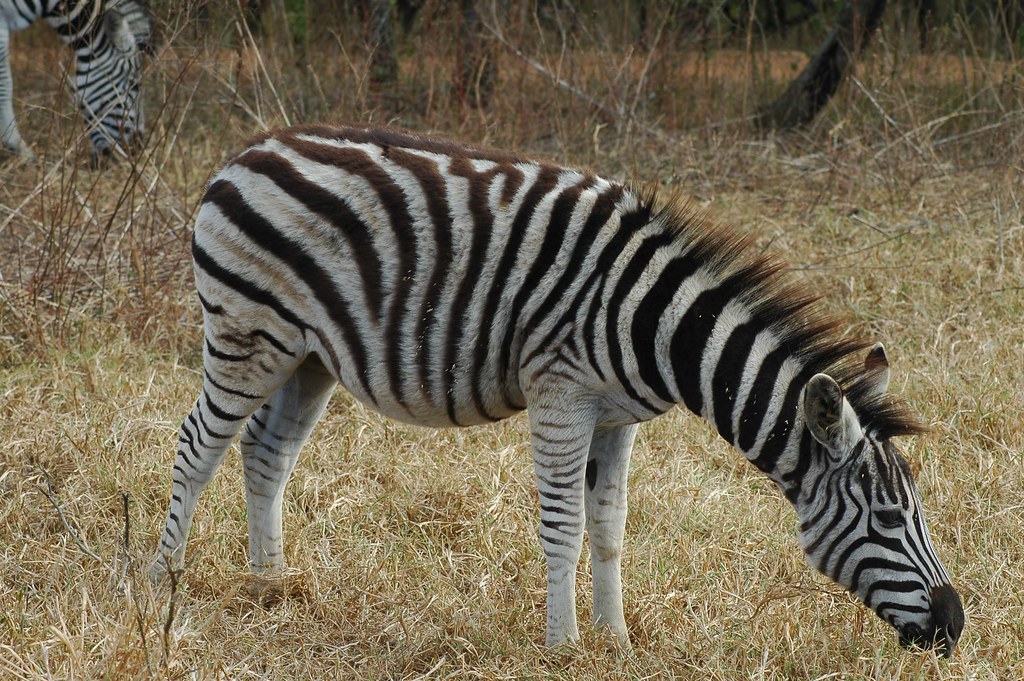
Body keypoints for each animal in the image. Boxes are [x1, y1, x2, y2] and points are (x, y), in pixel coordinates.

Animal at [151, 123, 964, 657]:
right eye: (889, 519)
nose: (953, 625)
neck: (658, 324)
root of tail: (250, 152)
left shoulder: (618, 417)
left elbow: (609, 525)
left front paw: (617, 637)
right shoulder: (561, 395)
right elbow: (564, 526)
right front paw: (564, 646)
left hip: (307, 356)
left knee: (267, 453)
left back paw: (271, 586)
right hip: (246, 333)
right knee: (196, 445)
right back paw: (163, 580)